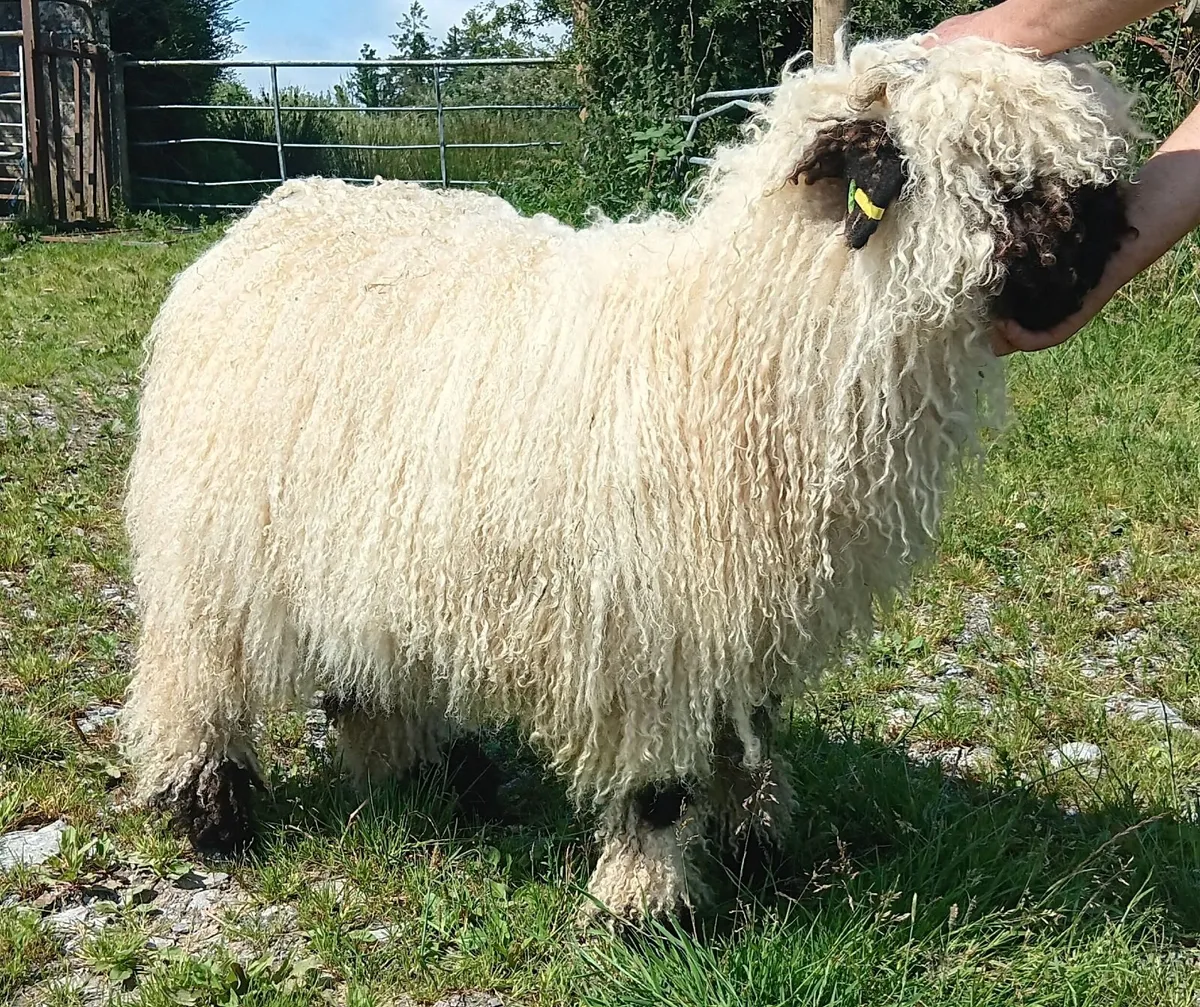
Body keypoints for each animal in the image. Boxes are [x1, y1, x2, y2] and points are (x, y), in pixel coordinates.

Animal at [122, 35, 1137, 920]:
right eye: (997, 174)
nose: (1112, 232)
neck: (738, 342)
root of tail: (269, 214)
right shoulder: (650, 621)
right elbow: (658, 785)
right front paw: (645, 908)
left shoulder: (743, 608)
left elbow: (747, 738)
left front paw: (756, 850)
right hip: (212, 541)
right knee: (194, 677)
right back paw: (211, 813)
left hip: (354, 538)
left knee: (359, 667)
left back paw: (433, 773)